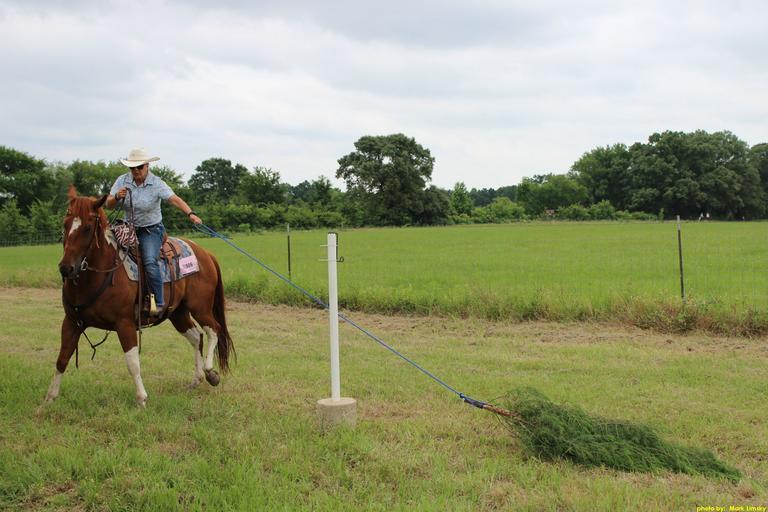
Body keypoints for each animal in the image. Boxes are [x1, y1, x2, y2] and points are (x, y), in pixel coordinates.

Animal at [45, 193, 234, 407]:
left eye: (87, 228)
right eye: (65, 224)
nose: (66, 268)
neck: (102, 274)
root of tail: (205, 253)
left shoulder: (124, 323)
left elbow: (132, 362)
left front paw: (141, 398)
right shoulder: (71, 322)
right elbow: (62, 357)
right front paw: (49, 398)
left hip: (200, 307)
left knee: (214, 330)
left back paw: (210, 372)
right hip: (177, 313)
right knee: (196, 337)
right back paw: (197, 378)